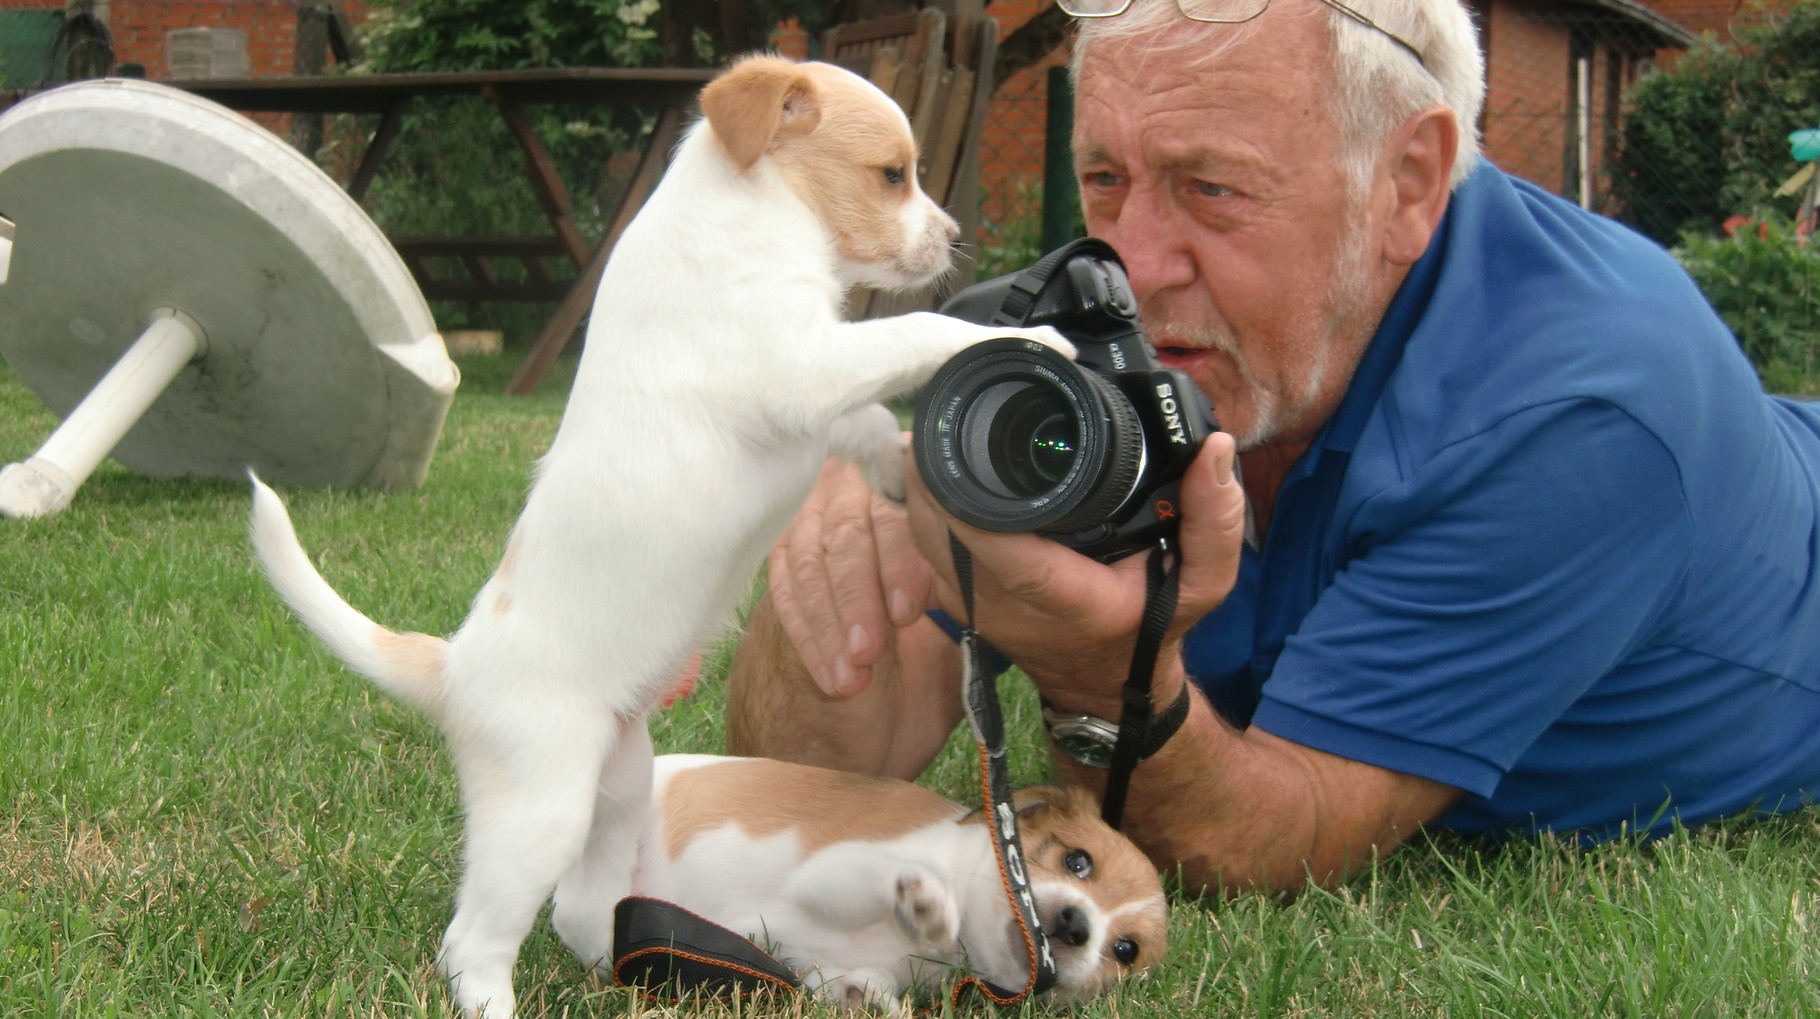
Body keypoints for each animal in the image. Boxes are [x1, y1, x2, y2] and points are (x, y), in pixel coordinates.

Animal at [243, 55, 1062, 1019]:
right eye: (893, 175)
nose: (955, 237)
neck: (750, 208)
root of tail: (451, 667)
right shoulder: (800, 364)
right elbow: (919, 332)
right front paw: (1034, 335)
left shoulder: (815, 384)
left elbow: (863, 419)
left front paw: (898, 470)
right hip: (542, 811)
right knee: (472, 940)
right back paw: (508, 996)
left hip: (620, 789)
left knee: (587, 906)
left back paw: (650, 959)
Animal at [633, 753, 1172, 1004]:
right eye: (1078, 861)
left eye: (1125, 950)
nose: (1077, 925)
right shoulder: (829, 871)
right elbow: (894, 878)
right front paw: (924, 902)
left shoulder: (812, 959)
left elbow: (845, 981)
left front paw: (865, 1001)